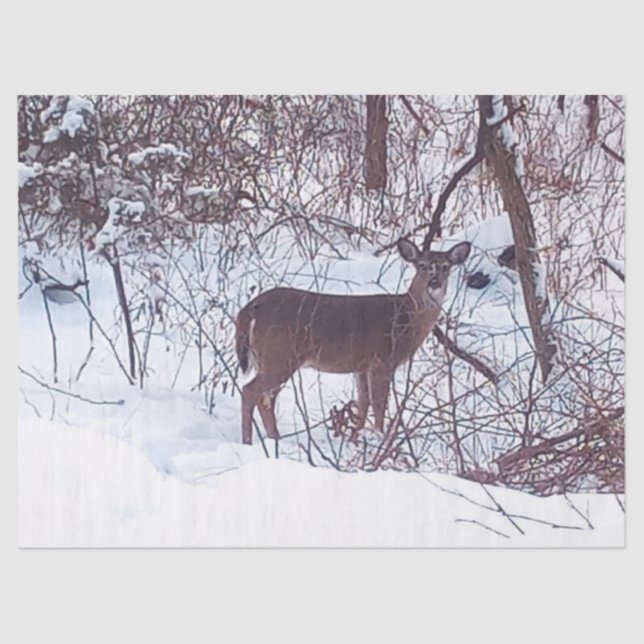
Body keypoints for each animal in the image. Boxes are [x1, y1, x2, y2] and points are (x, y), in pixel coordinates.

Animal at [235, 238, 471, 445]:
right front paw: (379, 438)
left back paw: (275, 438)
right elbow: (379, 404)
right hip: (280, 355)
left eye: (445, 267)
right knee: (251, 391)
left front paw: (355, 438)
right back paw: (248, 441)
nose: (434, 283)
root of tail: (249, 309)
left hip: (274, 358)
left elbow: (363, 403)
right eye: (422, 265)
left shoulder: (361, 366)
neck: (405, 318)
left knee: (265, 399)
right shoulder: (382, 360)